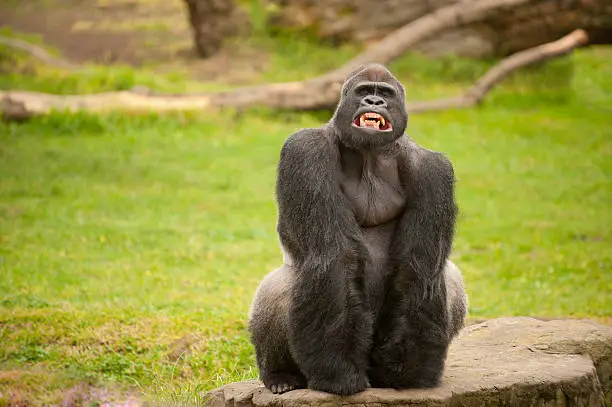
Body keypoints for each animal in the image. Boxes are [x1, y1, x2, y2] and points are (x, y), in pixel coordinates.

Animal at [246, 63, 466, 396]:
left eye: (385, 94)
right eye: (364, 92)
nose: (374, 102)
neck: (370, 156)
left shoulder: (434, 170)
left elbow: (418, 268)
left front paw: (408, 371)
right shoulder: (305, 151)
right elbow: (335, 257)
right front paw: (338, 373)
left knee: (448, 277)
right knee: (279, 284)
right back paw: (281, 374)